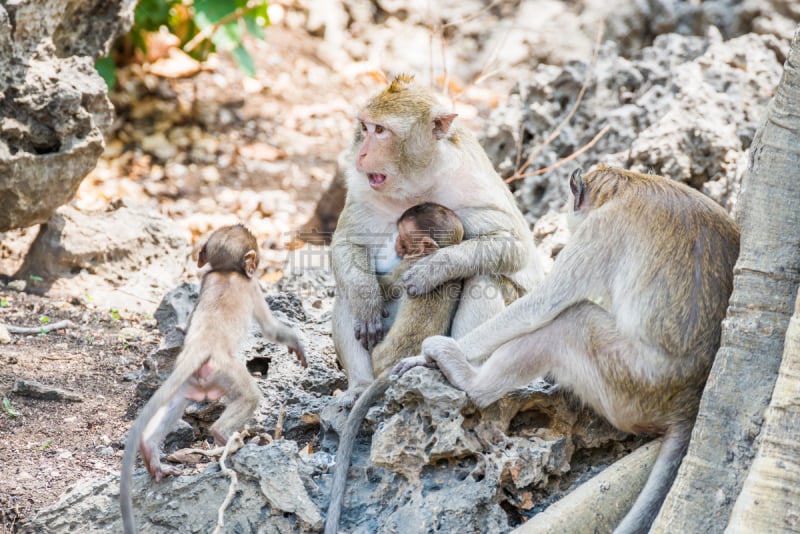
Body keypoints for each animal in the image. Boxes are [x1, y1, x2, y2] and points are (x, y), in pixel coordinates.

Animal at [119, 224, 306, 534]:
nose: (256, 266)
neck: (227, 272)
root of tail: (201, 348)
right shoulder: (252, 287)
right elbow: (270, 329)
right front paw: (296, 343)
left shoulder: (206, 278)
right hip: (225, 370)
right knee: (249, 396)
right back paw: (223, 435)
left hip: (190, 380)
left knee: (177, 404)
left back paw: (151, 453)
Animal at [332, 72, 544, 406]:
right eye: (365, 127)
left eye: (380, 131)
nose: (361, 154)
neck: (418, 183)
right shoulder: (362, 187)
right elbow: (348, 243)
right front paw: (365, 299)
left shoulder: (471, 181)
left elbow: (512, 245)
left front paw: (434, 269)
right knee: (345, 290)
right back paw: (360, 385)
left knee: (484, 276)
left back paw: (447, 370)